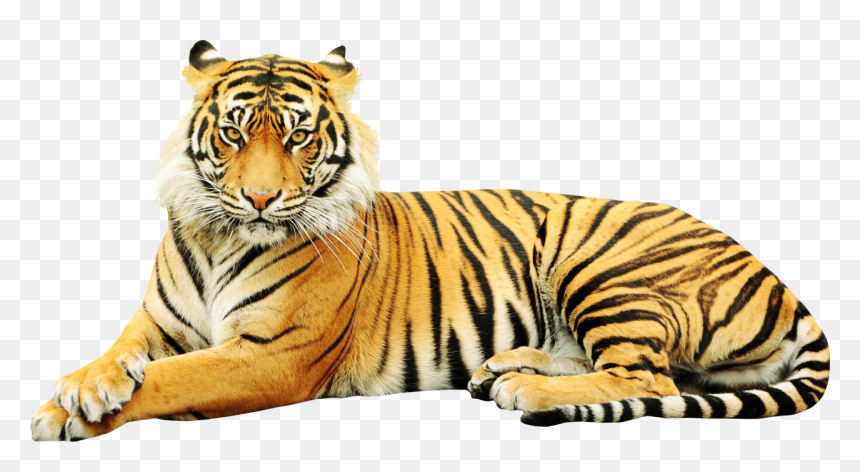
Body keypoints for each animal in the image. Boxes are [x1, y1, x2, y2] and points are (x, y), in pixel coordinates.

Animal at [31, 41, 829, 441]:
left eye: (296, 136)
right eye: (233, 133)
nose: (259, 198)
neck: (222, 235)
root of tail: (778, 278)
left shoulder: (270, 355)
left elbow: (172, 380)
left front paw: (64, 413)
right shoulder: (157, 323)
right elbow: (123, 354)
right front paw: (82, 386)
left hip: (603, 265)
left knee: (650, 378)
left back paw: (524, 388)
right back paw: (502, 368)